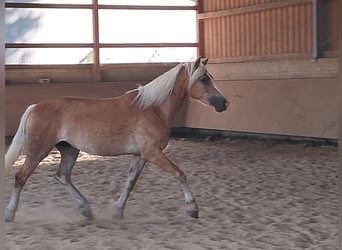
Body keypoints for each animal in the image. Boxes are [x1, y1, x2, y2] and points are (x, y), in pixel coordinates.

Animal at [4, 57, 227, 222]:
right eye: (204, 79)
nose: (224, 103)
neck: (153, 108)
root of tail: (36, 106)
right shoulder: (153, 153)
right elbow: (180, 174)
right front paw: (193, 209)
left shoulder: (140, 155)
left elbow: (130, 183)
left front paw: (118, 211)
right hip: (38, 151)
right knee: (20, 177)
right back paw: (10, 213)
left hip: (69, 149)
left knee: (62, 176)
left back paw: (86, 210)